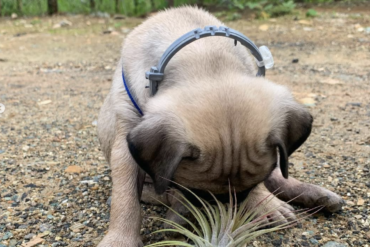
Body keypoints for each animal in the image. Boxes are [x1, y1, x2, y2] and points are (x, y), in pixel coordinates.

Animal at [96, 6, 344, 247]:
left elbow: (265, 180)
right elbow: (126, 200)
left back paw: (315, 195)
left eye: (245, 191)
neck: (207, 60)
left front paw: (264, 203)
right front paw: (120, 240)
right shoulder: (126, 147)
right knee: (165, 196)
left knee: (278, 177)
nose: (225, 204)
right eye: (198, 192)